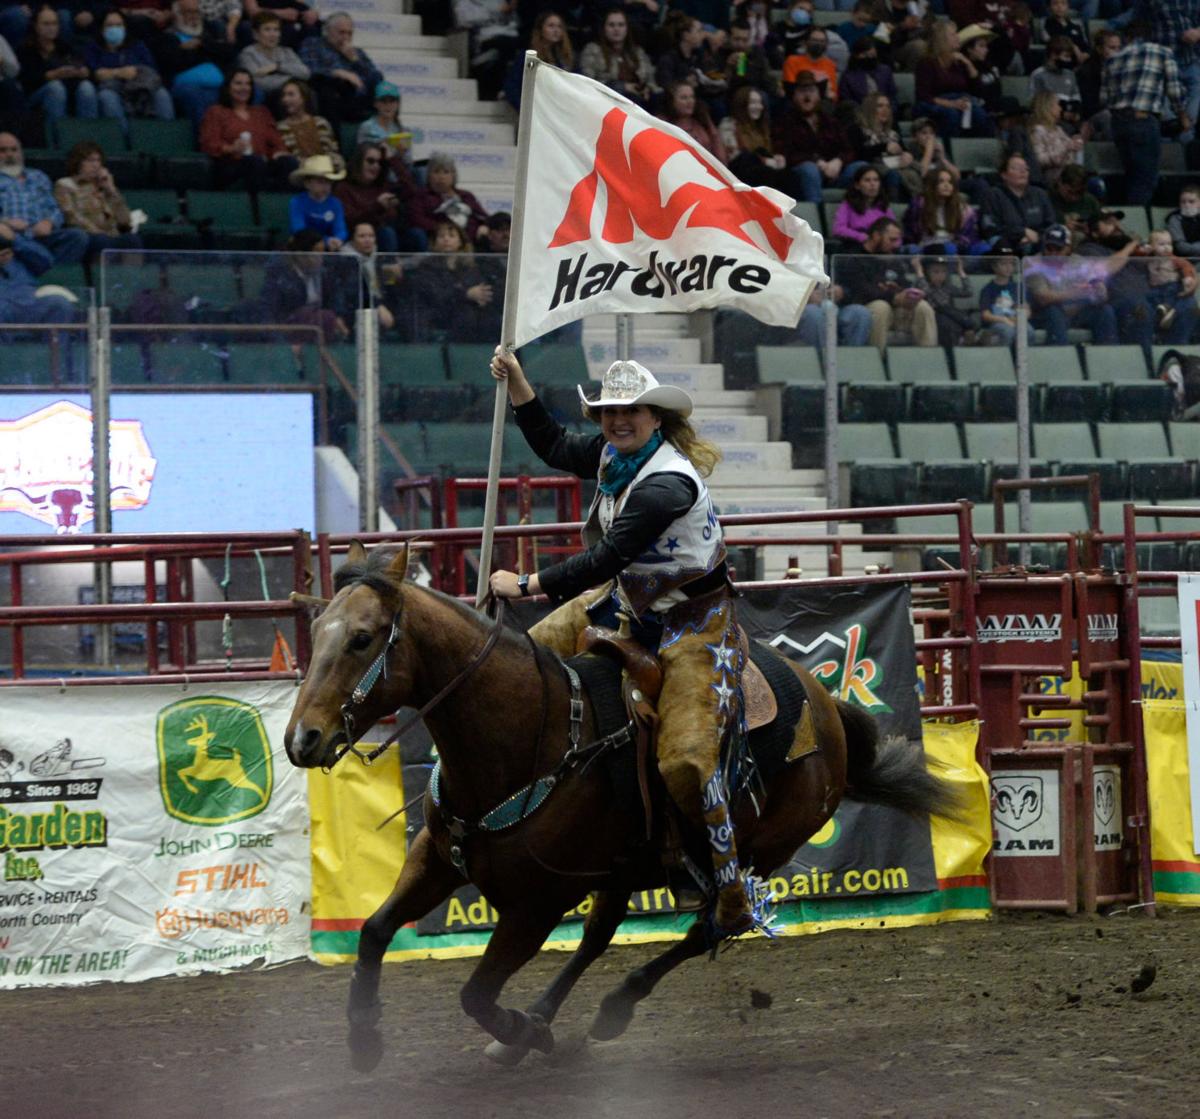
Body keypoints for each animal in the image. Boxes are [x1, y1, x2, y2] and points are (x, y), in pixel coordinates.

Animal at [280, 547, 955, 1070]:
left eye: (362, 638)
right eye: (320, 633)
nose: (301, 739)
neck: (533, 734)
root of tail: (822, 700)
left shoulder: (537, 904)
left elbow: (475, 994)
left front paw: (522, 1031)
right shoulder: (437, 860)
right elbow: (373, 932)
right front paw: (364, 1038)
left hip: (761, 848)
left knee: (713, 924)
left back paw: (609, 1010)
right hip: (626, 866)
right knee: (600, 935)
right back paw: (549, 1018)